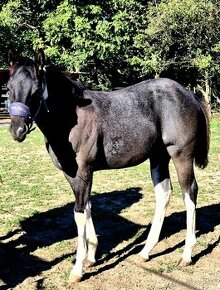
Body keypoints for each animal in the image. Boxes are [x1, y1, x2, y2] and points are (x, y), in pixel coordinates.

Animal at [6, 48, 210, 282]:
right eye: (9, 88)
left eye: (36, 91)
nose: (17, 130)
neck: (71, 119)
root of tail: (189, 94)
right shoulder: (72, 174)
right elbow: (87, 207)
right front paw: (91, 256)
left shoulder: (83, 171)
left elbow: (79, 213)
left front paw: (77, 269)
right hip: (158, 158)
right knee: (164, 193)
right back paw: (145, 252)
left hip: (181, 156)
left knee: (189, 193)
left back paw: (186, 254)